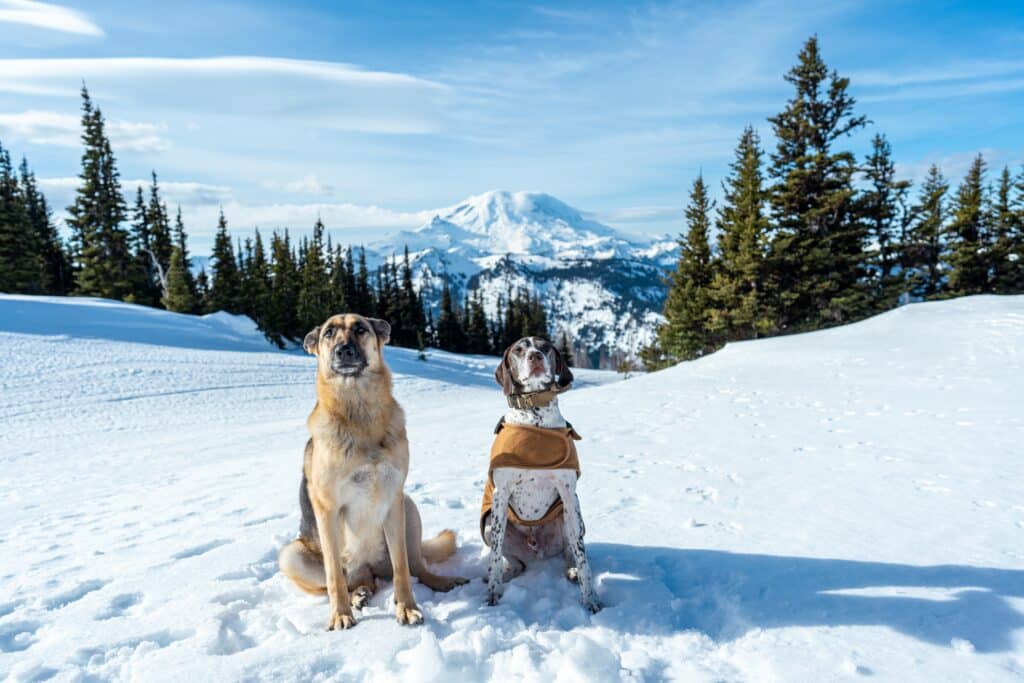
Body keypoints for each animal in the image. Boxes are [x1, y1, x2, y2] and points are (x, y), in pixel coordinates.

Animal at [278, 315, 466, 630]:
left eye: (360, 329)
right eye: (329, 332)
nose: (343, 350)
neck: (360, 414)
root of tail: (369, 568)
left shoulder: (393, 500)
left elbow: (403, 569)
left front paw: (406, 608)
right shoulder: (327, 510)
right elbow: (334, 577)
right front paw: (340, 614)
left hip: (409, 508)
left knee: (415, 565)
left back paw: (438, 581)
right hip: (291, 555)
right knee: (347, 581)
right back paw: (358, 595)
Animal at [477, 339, 598, 610]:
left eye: (545, 347)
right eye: (518, 350)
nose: (535, 356)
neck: (535, 416)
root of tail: (536, 550)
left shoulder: (569, 495)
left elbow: (583, 556)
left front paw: (591, 599)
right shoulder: (500, 495)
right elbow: (495, 555)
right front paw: (492, 593)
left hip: (568, 518)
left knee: (570, 552)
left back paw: (572, 571)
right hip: (488, 524)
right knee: (515, 563)